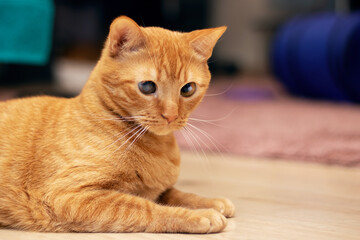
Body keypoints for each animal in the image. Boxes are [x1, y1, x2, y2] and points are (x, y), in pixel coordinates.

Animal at [0, 16, 235, 232]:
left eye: (187, 89)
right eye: (147, 87)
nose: (170, 115)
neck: (157, 146)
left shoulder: (159, 188)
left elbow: (176, 193)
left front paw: (211, 201)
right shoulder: (68, 196)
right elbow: (147, 207)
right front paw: (198, 215)